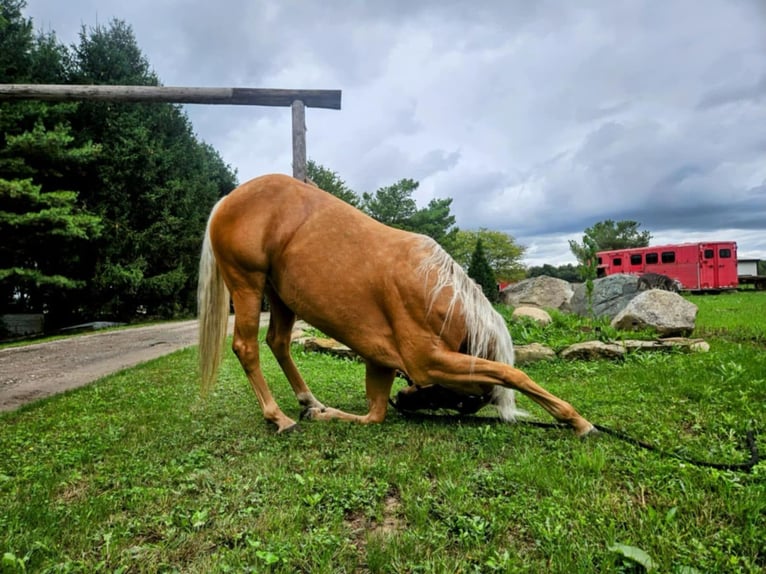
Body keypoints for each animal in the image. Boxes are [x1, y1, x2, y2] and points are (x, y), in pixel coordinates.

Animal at [197, 174, 594, 436]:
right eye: (462, 400)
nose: (404, 402)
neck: (434, 291)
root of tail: (225, 201)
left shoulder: (380, 361)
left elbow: (374, 414)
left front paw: (328, 414)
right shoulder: (428, 361)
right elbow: (512, 374)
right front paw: (576, 419)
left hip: (280, 295)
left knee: (277, 342)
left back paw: (310, 401)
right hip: (248, 284)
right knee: (247, 347)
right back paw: (277, 416)